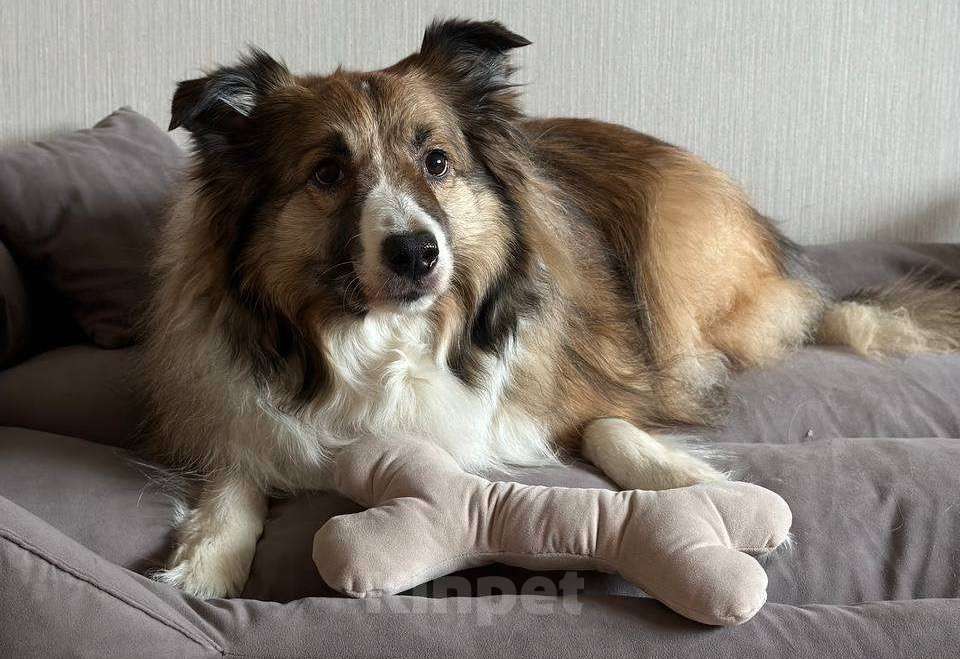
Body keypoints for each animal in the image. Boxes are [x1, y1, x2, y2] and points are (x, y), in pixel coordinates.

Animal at [143, 19, 960, 598]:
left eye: (436, 161)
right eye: (325, 173)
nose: (417, 253)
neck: (386, 339)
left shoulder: (581, 376)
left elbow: (608, 425)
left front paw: (704, 488)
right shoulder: (230, 399)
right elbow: (236, 467)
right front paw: (207, 561)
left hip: (674, 250)